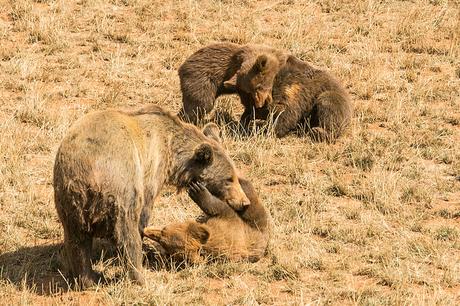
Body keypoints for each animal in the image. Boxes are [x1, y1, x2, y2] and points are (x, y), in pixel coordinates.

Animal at [53, 104, 252, 288]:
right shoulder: (150, 168)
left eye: (234, 175)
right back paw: (138, 276)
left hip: (69, 199)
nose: (244, 202)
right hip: (120, 186)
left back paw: (88, 278)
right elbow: (144, 213)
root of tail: (89, 175)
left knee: (77, 242)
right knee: (127, 231)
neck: (172, 152)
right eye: (229, 179)